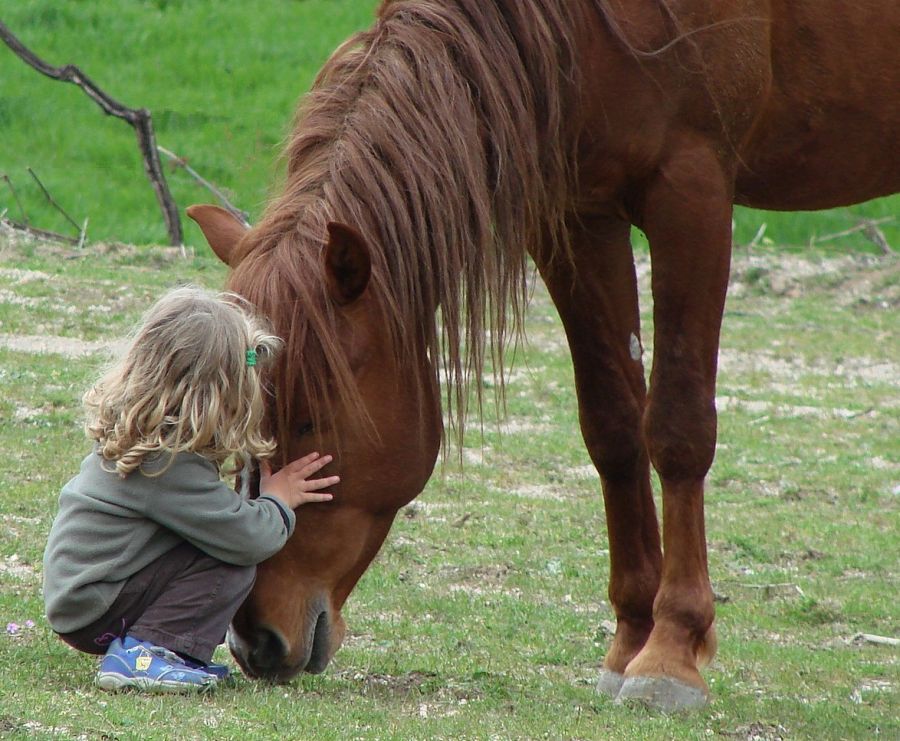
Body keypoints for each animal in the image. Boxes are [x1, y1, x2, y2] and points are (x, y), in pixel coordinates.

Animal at [186, 0, 896, 712]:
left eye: (310, 421)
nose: (255, 640)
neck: (584, 27)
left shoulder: (692, 193)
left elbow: (678, 428)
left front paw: (669, 652)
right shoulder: (579, 215)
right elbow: (613, 427)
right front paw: (629, 640)